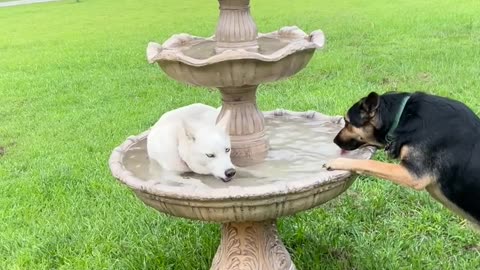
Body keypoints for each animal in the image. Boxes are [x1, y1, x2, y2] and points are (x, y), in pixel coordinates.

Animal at [324, 91, 478, 228]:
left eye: (347, 122)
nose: (334, 141)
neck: (401, 116)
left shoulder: (413, 175)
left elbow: (370, 163)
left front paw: (337, 161)